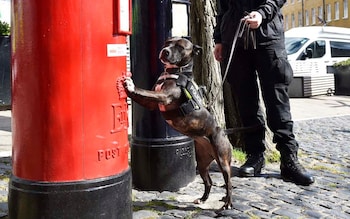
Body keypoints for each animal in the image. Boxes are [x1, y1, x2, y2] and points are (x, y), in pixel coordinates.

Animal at [122, 36, 232, 210]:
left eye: (181, 47)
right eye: (167, 43)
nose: (165, 51)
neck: (175, 73)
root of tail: (224, 132)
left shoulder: (163, 97)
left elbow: (144, 91)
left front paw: (131, 85)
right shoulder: (152, 103)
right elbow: (143, 96)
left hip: (223, 160)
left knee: (229, 183)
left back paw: (228, 203)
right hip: (202, 163)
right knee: (208, 181)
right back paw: (203, 199)